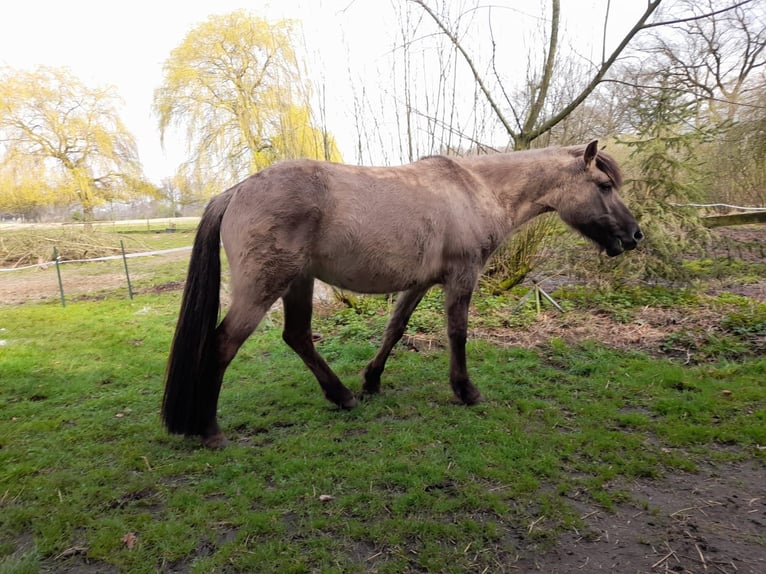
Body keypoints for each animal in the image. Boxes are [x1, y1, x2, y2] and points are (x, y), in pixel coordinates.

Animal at [162, 141, 640, 450]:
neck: (476, 189)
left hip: (298, 283)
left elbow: (395, 328)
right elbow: (458, 332)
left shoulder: (419, 282)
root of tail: (234, 191)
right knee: (222, 345)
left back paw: (343, 396)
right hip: (262, 289)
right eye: (604, 185)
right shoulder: (461, 276)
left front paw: (372, 381)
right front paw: (465, 390)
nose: (635, 235)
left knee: (296, 337)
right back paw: (211, 431)